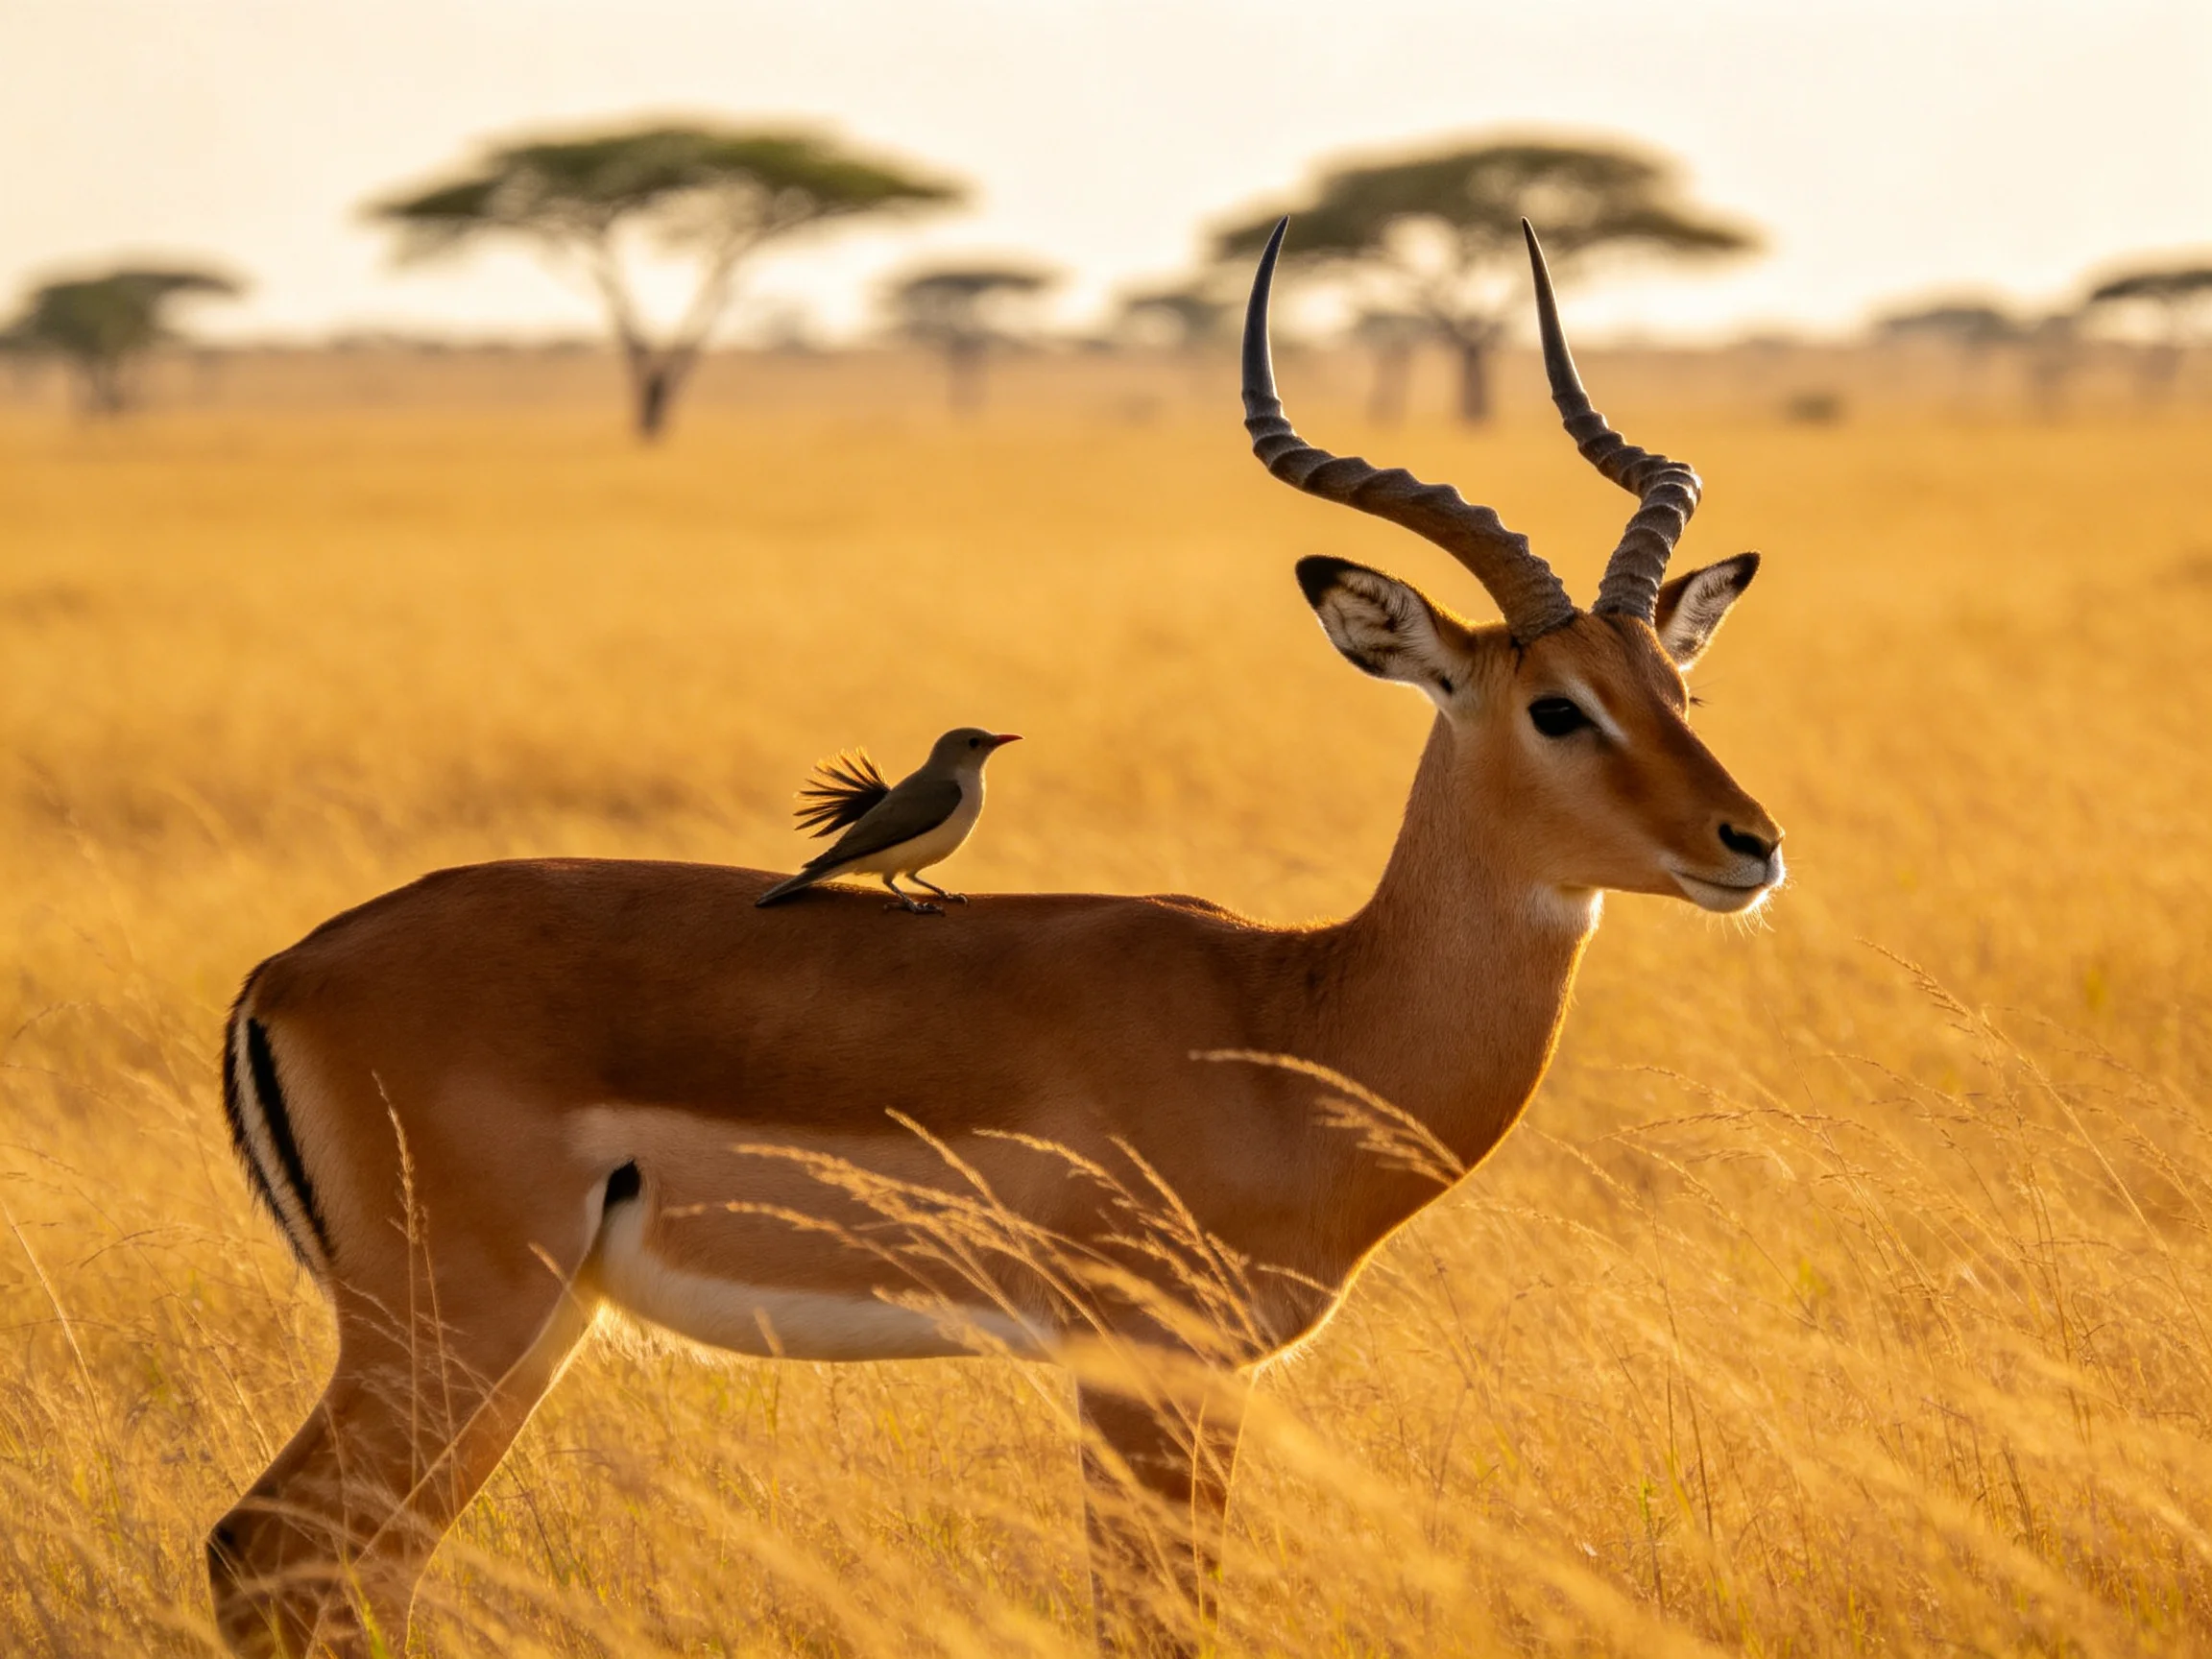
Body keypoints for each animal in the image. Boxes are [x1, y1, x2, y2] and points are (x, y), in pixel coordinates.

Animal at [206, 219, 1783, 1657]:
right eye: (1558, 708)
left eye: (1679, 691)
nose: (1749, 845)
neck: (1290, 1020)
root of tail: (285, 973)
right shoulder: (1142, 1367)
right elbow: (1151, 1623)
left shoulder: (1206, 1375)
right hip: (456, 1318)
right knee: (265, 1550)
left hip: (532, 1330)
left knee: (357, 1570)